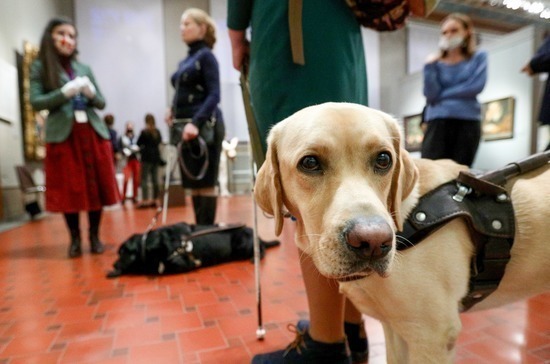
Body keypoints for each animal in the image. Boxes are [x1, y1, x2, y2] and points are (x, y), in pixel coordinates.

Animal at [107, 222, 280, 278]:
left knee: (261, 249)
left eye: (122, 253)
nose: (114, 265)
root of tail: (256, 233)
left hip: (243, 243)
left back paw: (255, 257)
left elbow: (159, 267)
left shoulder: (181, 264)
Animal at [256, 102, 550, 364]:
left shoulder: (433, 336)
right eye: (309, 163)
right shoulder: (396, 329)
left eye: (384, 159)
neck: (410, 217)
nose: (373, 242)